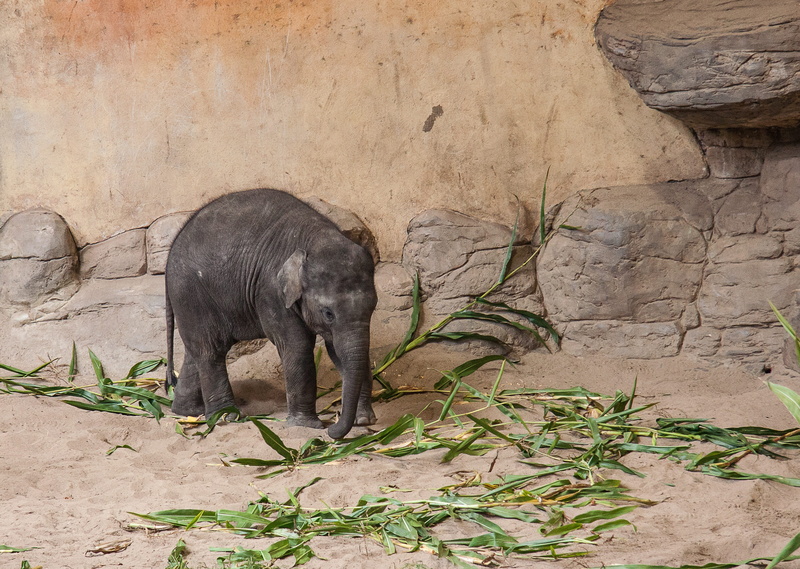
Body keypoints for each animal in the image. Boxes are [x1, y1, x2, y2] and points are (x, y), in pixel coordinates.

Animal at [164, 188, 378, 439]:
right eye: (328, 313)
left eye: (373, 306)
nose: (332, 427)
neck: (316, 237)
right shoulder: (271, 292)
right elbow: (297, 346)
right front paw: (305, 426)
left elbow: (338, 349)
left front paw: (363, 420)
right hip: (191, 292)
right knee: (210, 350)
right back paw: (226, 417)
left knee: (196, 350)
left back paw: (189, 411)